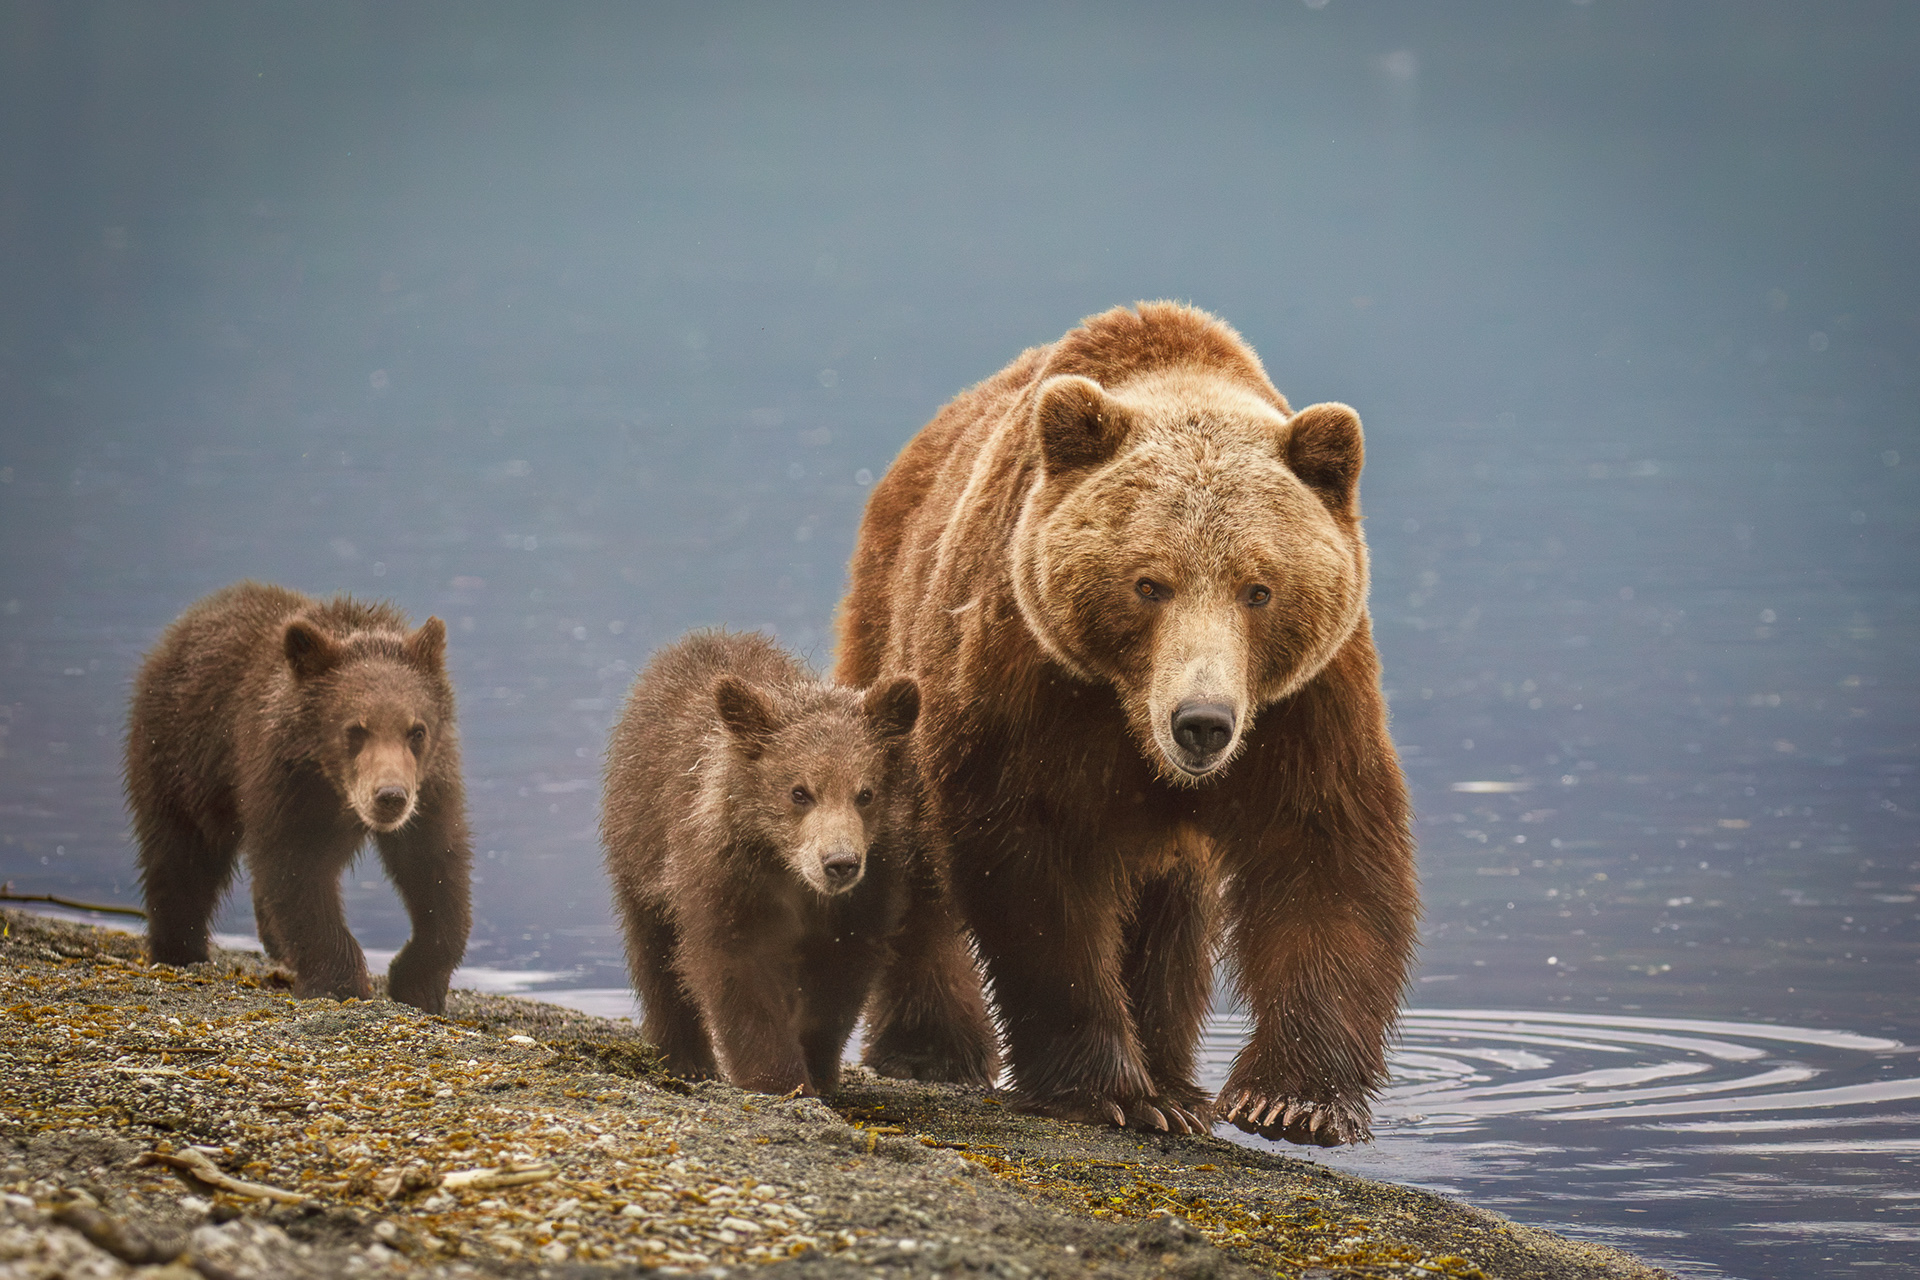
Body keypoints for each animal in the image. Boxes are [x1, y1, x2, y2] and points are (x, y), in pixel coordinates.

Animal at [126, 581, 472, 1014]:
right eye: (355, 729)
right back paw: (180, 951)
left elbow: (437, 871)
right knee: (181, 858)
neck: (333, 787)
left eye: (417, 730)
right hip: (183, 757)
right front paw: (341, 981)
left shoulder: (430, 791)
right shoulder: (285, 787)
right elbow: (298, 877)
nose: (390, 796)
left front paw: (417, 984)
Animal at [601, 630, 998, 1096]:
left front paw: (818, 1067)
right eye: (799, 792)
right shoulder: (725, 884)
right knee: (655, 953)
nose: (840, 862)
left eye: (866, 792)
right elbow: (738, 976)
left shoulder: (863, 899)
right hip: (641, 846)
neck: (790, 873)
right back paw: (687, 1059)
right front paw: (780, 1079)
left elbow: (837, 984)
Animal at [836, 302, 1419, 1146]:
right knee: (903, 850)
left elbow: (1325, 857)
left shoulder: (1304, 706)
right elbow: (1032, 874)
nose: (1202, 722)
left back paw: (1177, 1078)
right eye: (1149, 583)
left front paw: (1291, 1100)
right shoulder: (1031, 682)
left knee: (1173, 909)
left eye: (1259, 589)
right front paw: (1109, 1089)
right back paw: (933, 1048)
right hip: (892, 628)